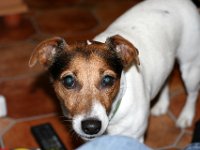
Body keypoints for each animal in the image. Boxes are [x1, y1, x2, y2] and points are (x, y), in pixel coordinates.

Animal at [28, 0, 199, 142]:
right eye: (68, 81)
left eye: (108, 80)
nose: (91, 126)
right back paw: (162, 105)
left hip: (190, 68)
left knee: (192, 94)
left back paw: (186, 116)